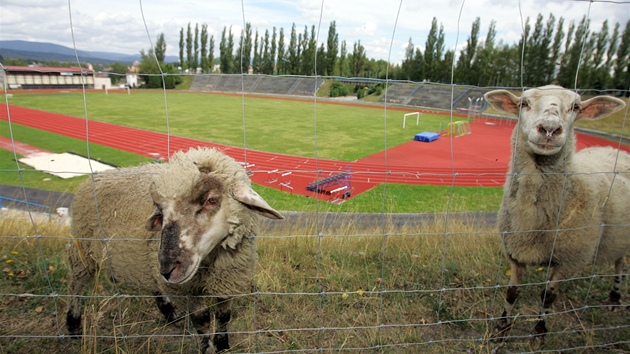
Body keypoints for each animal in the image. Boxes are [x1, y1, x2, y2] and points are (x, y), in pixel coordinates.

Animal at [66, 146, 284, 352]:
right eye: (161, 212)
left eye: (212, 200)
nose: (167, 269)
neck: (213, 260)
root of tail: (95, 176)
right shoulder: (187, 290)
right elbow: (202, 320)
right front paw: (208, 348)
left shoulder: (229, 277)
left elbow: (224, 315)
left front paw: (223, 345)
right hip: (83, 250)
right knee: (76, 284)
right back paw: (74, 325)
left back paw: (169, 312)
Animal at [486, 86, 628, 346]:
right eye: (523, 103)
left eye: (576, 107)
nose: (550, 129)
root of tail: (613, 149)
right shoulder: (515, 251)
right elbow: (512, 292)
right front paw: (501, 328)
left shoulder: (569, 259)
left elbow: (547, 296)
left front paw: (539, 332)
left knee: (620, 264)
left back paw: (615, 296)